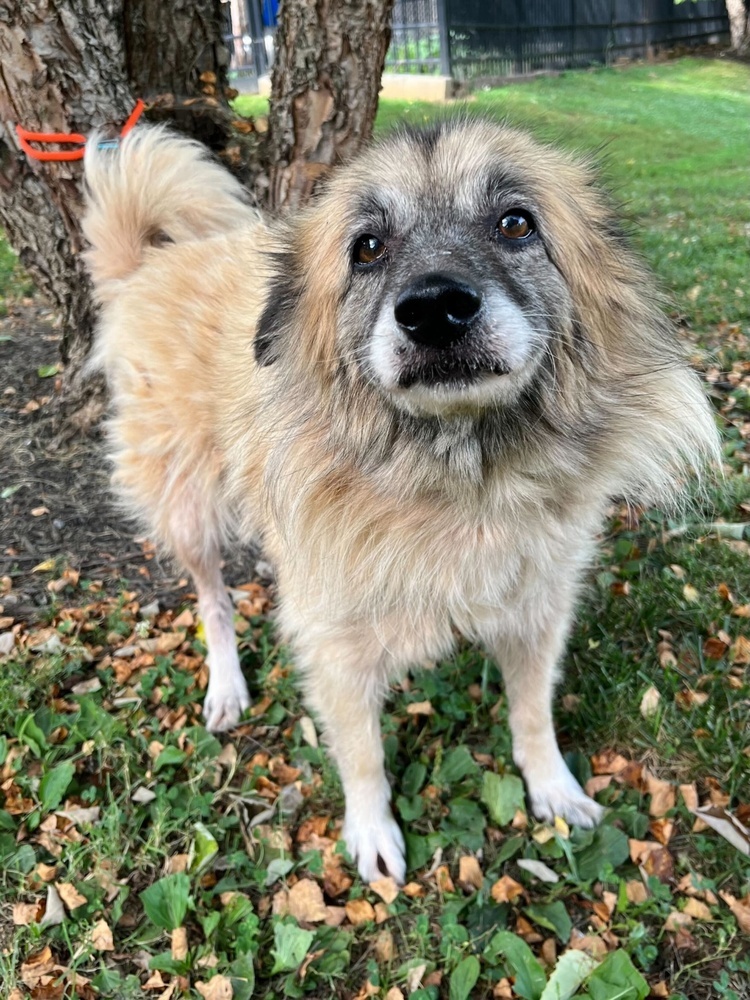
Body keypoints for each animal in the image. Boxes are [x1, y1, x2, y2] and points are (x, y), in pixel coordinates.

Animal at [83, 121, 724, 880]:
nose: (434, 309)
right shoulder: (335, 647)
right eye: (367, 247)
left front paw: (552, 787)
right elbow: (362, 754)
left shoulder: (537, 611)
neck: (456, 484)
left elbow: (532, 714)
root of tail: (151, 265)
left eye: (515, 223)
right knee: (213, 598)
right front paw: (371, 830)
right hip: (191, 509)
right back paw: (227, 685)